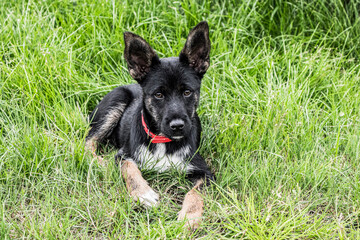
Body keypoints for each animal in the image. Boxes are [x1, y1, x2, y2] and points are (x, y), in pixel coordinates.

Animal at [86, 21, 215, 229]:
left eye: (187, 92)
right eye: (159, 95)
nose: (178, 126)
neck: (163, 141)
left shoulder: (205, 173)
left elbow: (195, 193)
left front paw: (189, 217)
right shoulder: (123, 155)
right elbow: (129, 168)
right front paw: (143, 194)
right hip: (116, 101)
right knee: (88, 142)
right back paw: (100, 163)